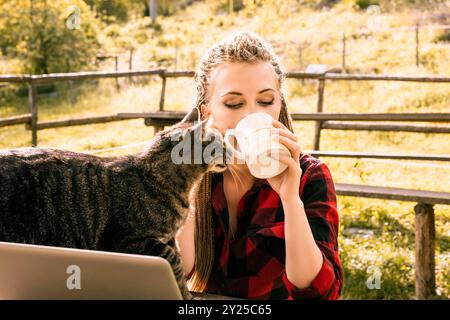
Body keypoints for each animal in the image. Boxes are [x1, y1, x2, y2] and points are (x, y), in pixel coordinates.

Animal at [0, 117, 227, 300]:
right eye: (220, 143)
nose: (232, 151)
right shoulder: (133, 241)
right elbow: (174, 262)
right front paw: (184, 293)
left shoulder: (169, 237)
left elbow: (177, 260)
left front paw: (185, 293)